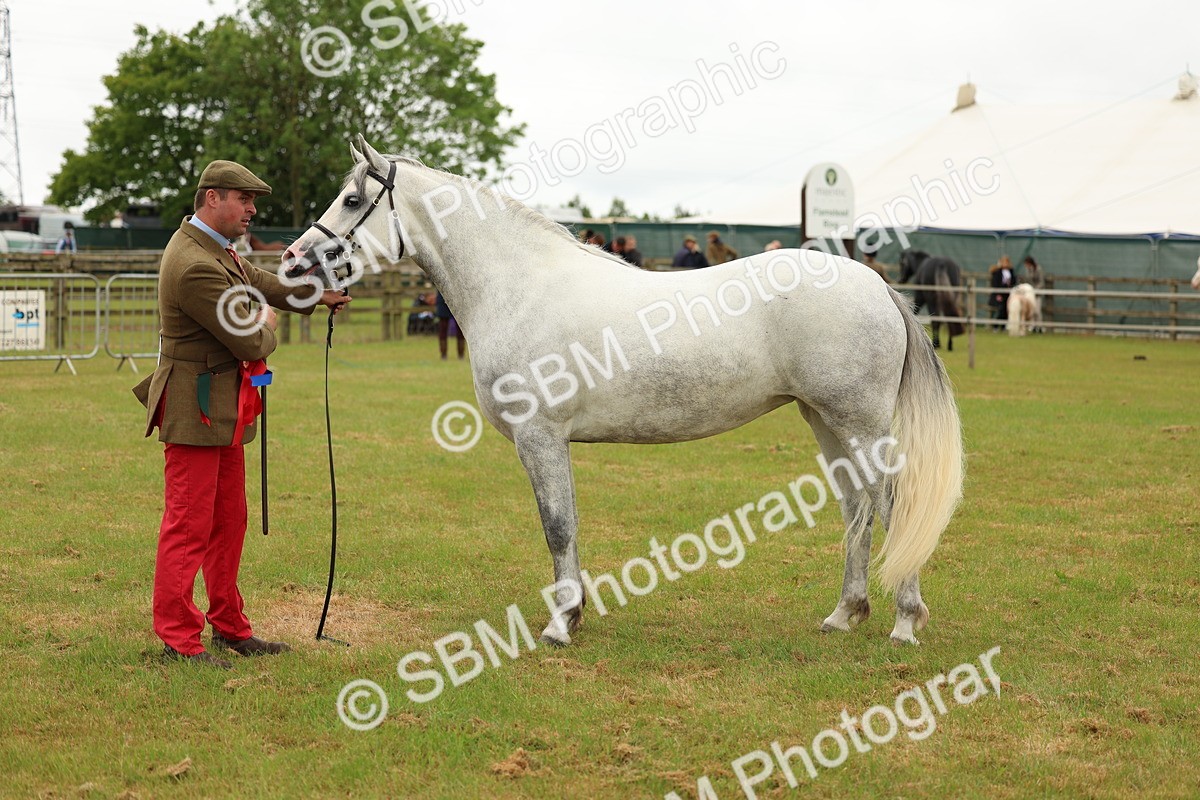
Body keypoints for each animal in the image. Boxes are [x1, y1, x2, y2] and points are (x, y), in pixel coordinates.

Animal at [282, 136, 964, 646]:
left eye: (351, 199)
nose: (293, 260)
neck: (520, 286)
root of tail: (876, 286)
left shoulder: (540, 437)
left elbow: (558, 526)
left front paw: (561, 624)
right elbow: (566, 526)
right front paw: (573, 614)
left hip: (860, 422)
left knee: (892, 503)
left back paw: (905, 621)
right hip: (824, 420)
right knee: (857, 507)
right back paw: (845, 613)